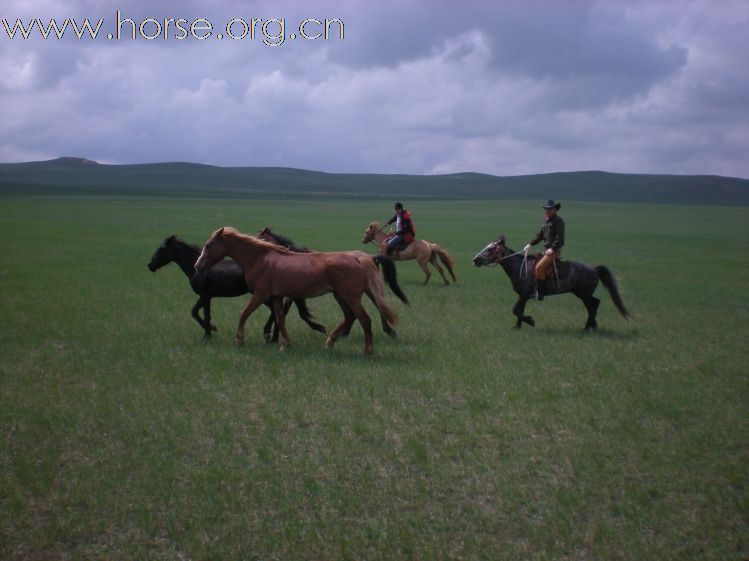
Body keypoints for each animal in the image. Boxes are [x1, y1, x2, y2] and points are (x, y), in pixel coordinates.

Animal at [148, 234, 326, 340]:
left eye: (161, 249)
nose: (150, 265)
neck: (197, 268)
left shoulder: (205, 296)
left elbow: (204, 314)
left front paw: (208, 333)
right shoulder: (206, 296)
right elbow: (195, 312)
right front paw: (211, 330)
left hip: (262, 295)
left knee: (278, 311)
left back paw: (271, 335)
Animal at [194, 225, 410, 352]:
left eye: (208, 245)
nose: (197, 266)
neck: (260, 259)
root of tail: (363, 259)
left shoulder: (261, 294)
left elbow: (244, 313)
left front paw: (239, 340)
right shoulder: (277, 296)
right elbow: (280, 318)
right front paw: (284, 344)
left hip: (351, 296)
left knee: (365, 319)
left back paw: (367, 350)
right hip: (341, 295)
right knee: (351, 317)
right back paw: (331, 340)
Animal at [470, 235, 628, 330]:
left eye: (490, 249)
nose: (475, 260)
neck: (520, 267)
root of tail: (594, 268)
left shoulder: (524, 295)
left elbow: (515, 310)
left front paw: (530, 321)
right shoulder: (523, 296)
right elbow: (520, 310)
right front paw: (518, 327)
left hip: (584, 294)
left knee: (592, 306)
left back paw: (588, 327)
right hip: (580, 293)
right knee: (594, 305)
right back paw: (591, 326)